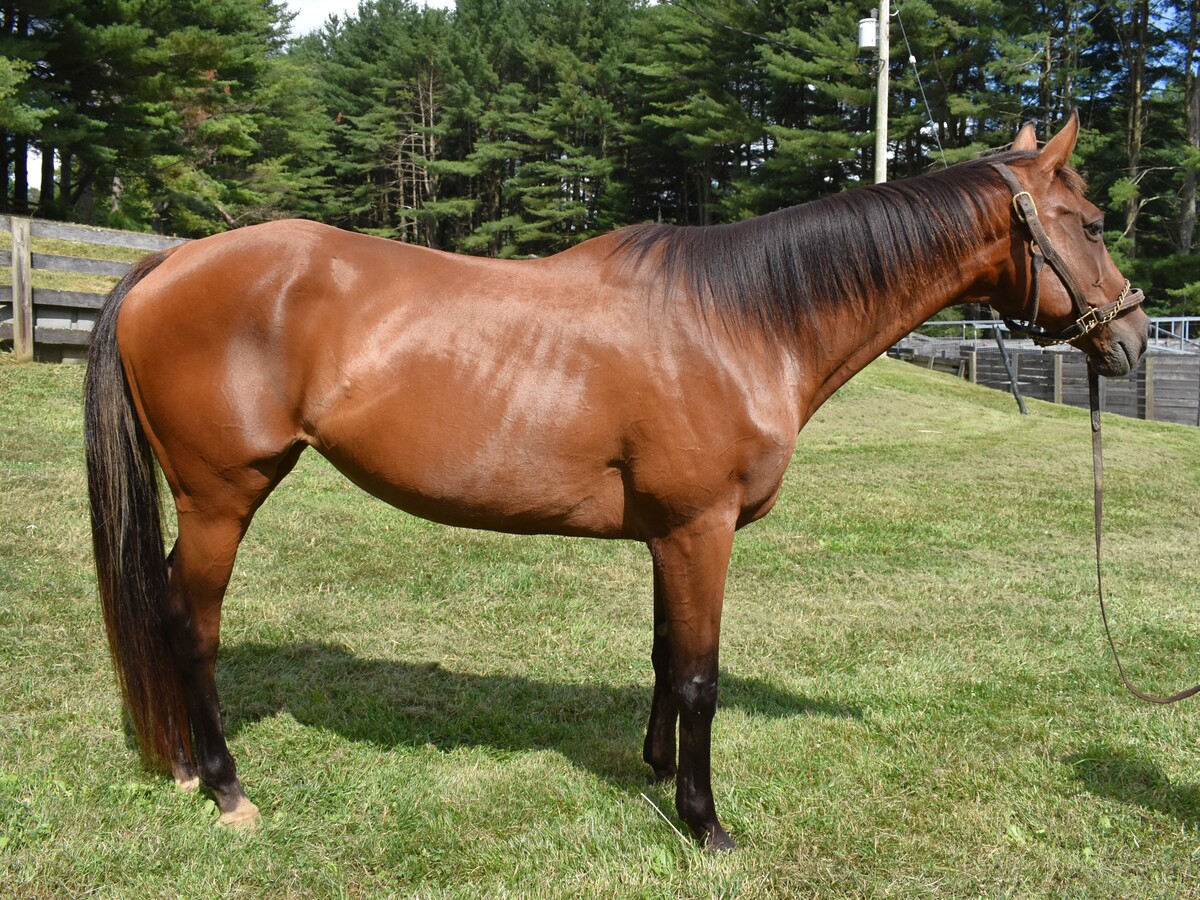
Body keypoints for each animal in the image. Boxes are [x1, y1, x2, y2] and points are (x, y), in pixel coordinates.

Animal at [84, 113, 1147, 850]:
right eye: (1092, 223)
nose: (1134, 337)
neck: (739, 321)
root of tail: (167, 264)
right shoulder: (700, 529)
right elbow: (701, 675)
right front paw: (706, 821)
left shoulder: (669, 537)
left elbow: (665, 658)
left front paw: (653, 772)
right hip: (223, 496)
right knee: (190, 625)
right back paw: (227, 786)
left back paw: (182, 767)